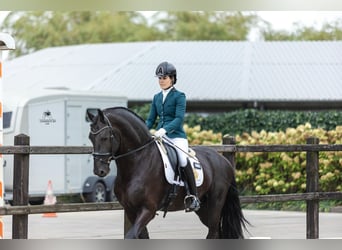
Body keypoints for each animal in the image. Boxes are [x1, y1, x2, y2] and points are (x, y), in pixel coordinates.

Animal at [87, 107, 247, 238]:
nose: (99, 170)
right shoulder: (131, 210)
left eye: (105, 137)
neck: (138, 161)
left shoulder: (148, 210)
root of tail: (223, 160)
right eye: (90, 137)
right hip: (203, 209)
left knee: (213, 232)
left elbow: (131, 236)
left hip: (215, 203)